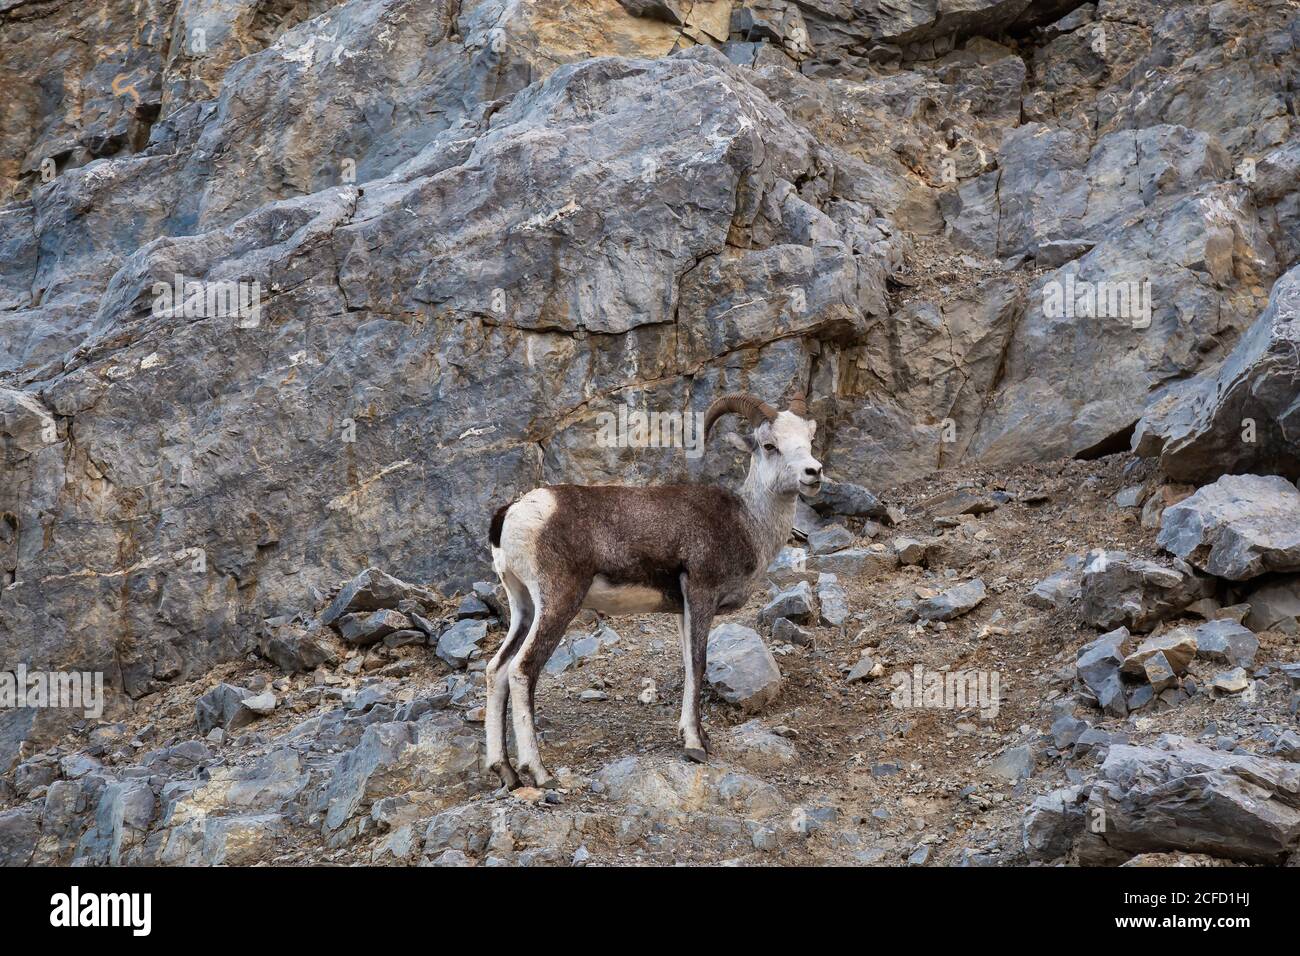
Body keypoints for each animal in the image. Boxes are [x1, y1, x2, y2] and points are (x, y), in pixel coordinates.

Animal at [484, 391, 822, 789]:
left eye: (809, 439)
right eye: (770, 445)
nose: (813, 473)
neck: (748, 523)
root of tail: (513, 513)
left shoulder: (683, 611)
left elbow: (689, 666)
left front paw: (697, 736)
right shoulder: (701, 593)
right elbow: (698, 662)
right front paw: (695, 746)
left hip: (524, 607)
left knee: (496, 669)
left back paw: (505, 772)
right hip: (558, 602)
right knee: (522, 669)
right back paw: (539, 773)